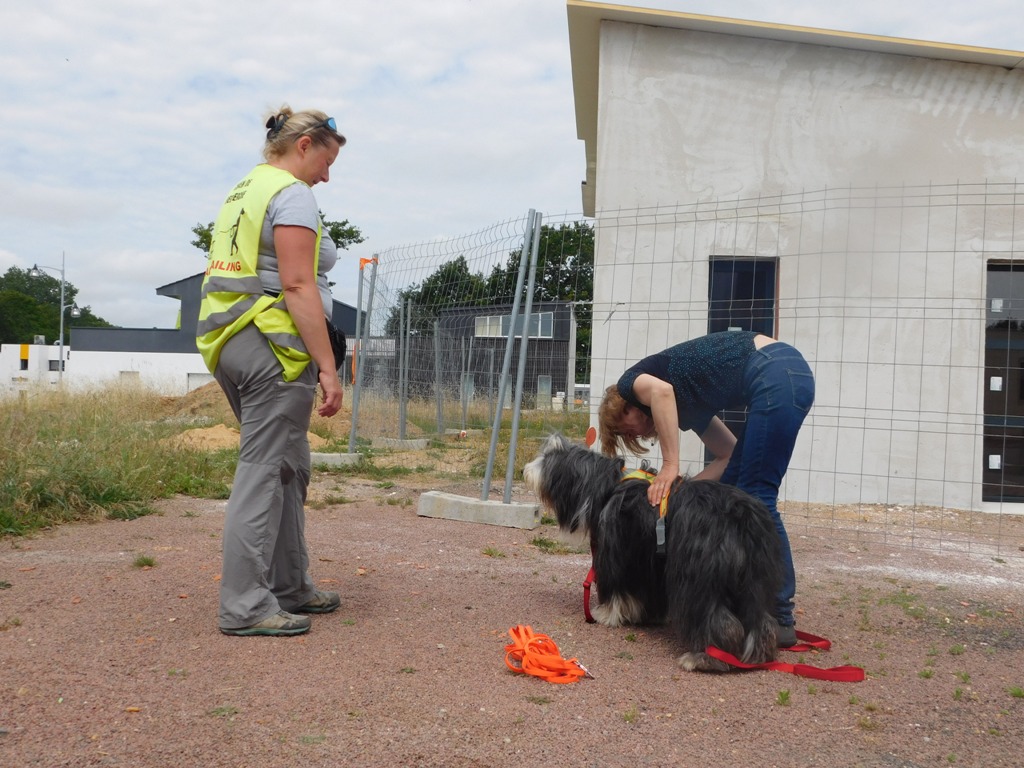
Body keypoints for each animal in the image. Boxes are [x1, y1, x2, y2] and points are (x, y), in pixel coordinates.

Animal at [524, 438, 786, 671]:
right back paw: (757, 654)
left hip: (699, 578)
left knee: (719, 621)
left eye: (546, 459)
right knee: (761, 620)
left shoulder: (616, 553)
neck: (607, 485)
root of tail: (741, 516)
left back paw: (704, 659)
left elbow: (616, 589)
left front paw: (606, 614)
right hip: (754, 578)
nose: (524, 470)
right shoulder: (649, 563)